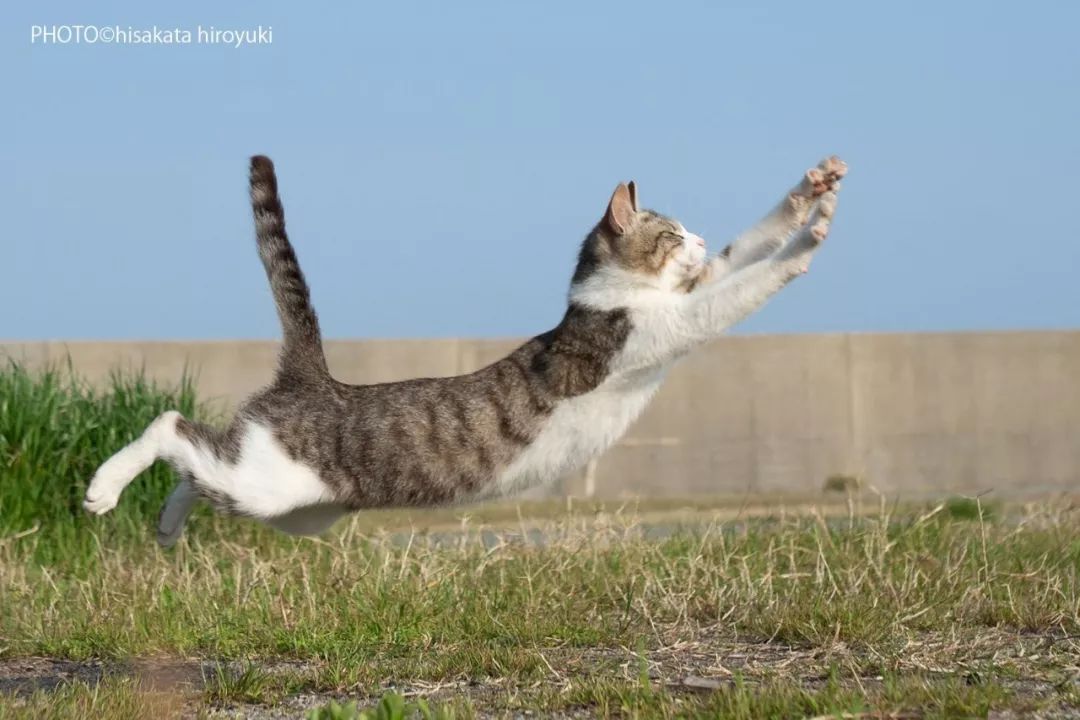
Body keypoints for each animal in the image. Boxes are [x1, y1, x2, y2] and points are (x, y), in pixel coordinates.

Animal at [84, 153, 842, 546]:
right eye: (673, 232)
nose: (701, 239)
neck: (610, 297)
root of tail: (313, 377)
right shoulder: (671, 324)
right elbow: (747, 283)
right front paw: (810, 239)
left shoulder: (682, 302)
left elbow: (748, 248)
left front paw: (807, 194)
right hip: (269, 485)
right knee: (171, 427)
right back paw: (105, 488)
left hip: (293, 510)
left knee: (197, 468)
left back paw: (167, 524)